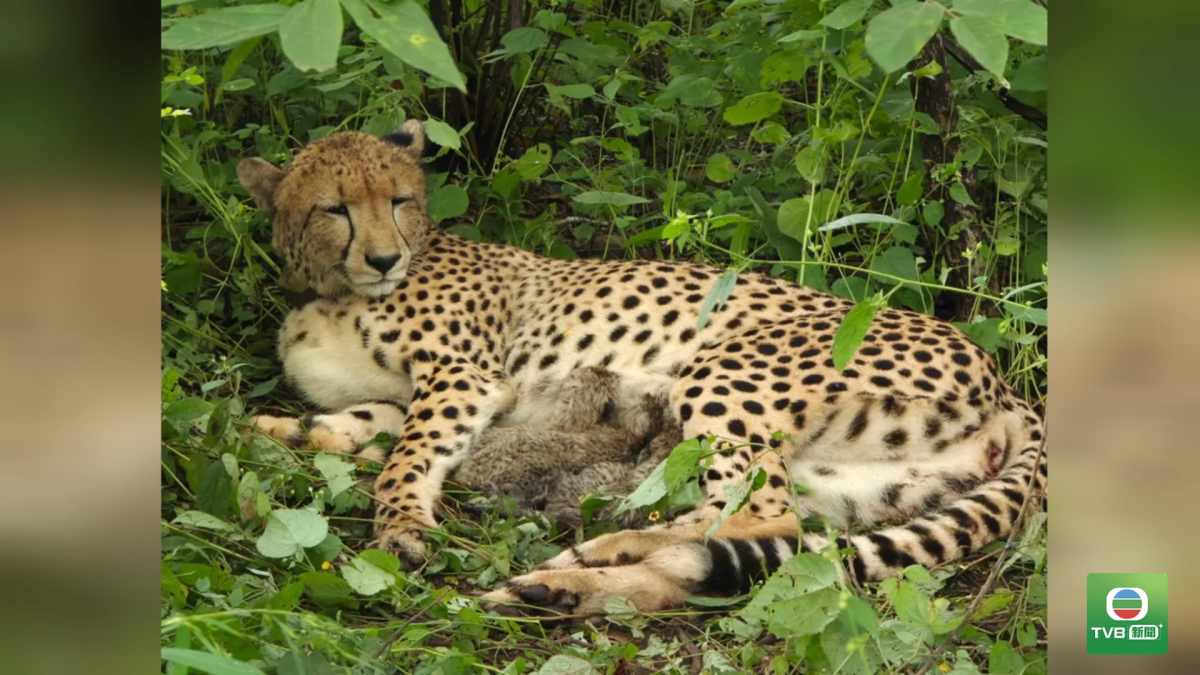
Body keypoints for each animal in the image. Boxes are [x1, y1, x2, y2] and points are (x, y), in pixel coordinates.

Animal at [237, 120, 1047, 616]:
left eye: (400, 199)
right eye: (335, 208)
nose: (383, 258)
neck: (332, 289)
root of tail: (1008, 382)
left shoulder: (463, 379)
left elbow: (403, 457)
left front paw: (400, 524)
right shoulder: (413, 395)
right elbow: (353, 425)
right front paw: (273, 430)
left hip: (725, 368)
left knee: (761, 513)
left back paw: (584, 563)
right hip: (859, 481)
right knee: (742, 536)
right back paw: (572, 578)